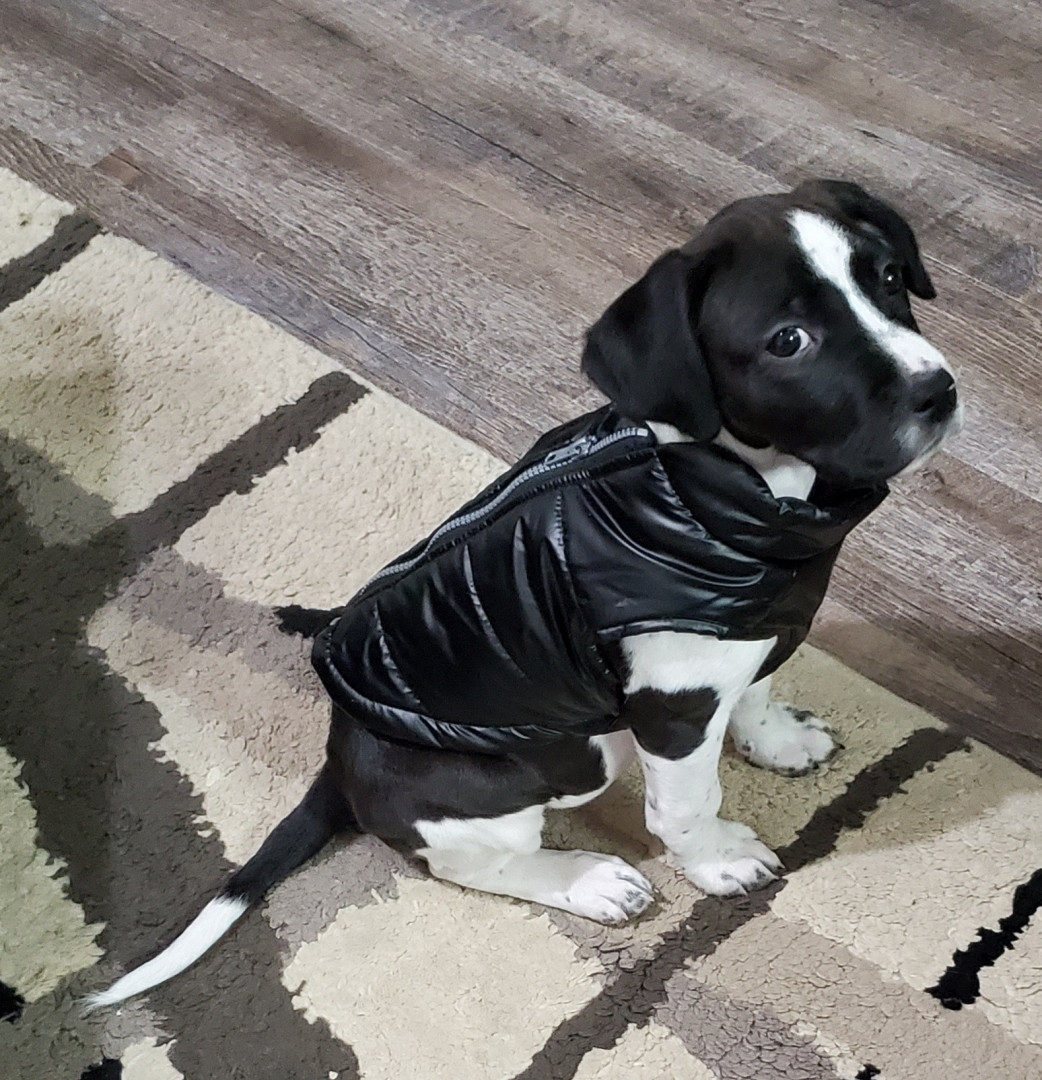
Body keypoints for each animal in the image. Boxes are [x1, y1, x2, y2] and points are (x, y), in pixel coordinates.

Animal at [87, 179, 960, 1008]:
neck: (727, 492)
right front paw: (716, 863)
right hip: (570, 757)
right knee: (464, 862)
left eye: (888, 277)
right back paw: (586, 879)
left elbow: (757, 691)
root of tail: (339, 760)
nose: (940, 391)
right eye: (788, 341)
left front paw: (777, 741)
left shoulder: (747, 633)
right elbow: (684, 806)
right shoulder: (672, 708)